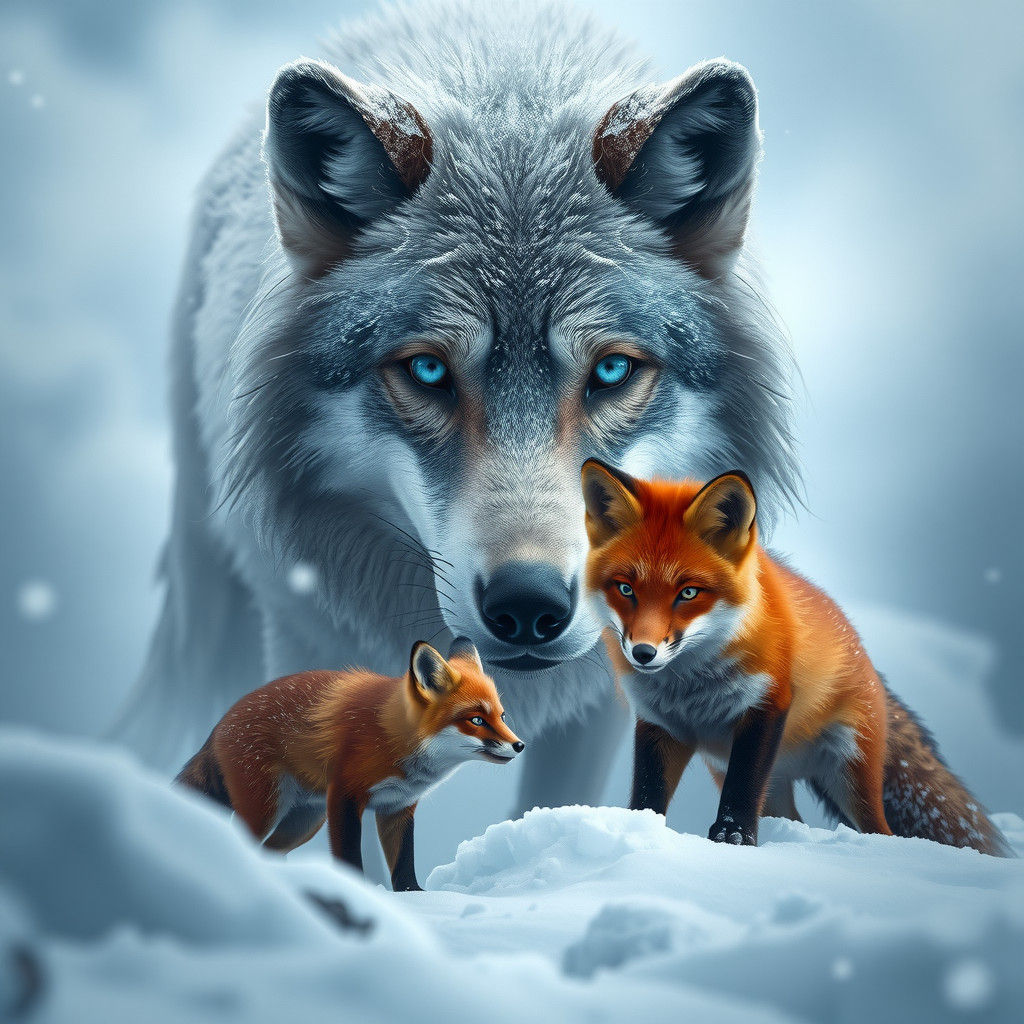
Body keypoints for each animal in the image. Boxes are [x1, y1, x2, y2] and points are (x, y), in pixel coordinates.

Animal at [176, 637, 524, 890]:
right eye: (476, 720)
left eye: (501, 716)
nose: (519, 745)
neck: (392, 736)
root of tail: (221, 723)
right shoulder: (344, 797)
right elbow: (349, 858)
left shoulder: (398, 808)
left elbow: (403, 864)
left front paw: (415, 898)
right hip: (265, 810)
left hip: (304, 822)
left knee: (268, 851)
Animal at [581, 459, 1009, 856]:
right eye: (625, 588)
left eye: (688, 593)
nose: (643, 653)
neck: (690, 687)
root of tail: (862, 650)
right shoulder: (659, 723)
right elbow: (648, 794)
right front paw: (638, 831)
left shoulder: (765, 708)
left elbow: (740, 791)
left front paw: (734, 838)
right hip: (750, 774)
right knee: (792, 818)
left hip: (850, 773)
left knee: (880, 830)